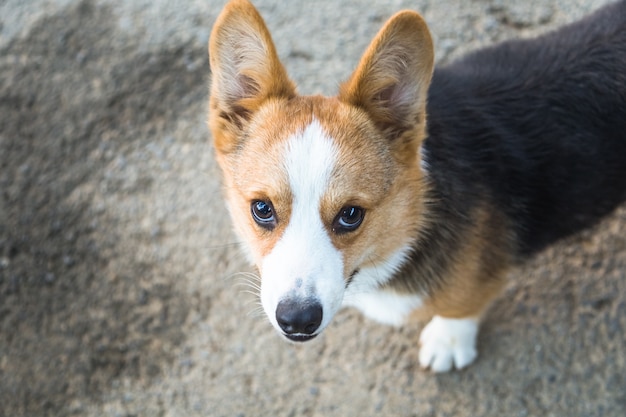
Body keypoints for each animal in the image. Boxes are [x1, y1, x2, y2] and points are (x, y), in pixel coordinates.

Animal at [206, 0, 624, 370]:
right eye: (262, 209)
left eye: (351, 214)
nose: (296, 320)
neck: (416, 211)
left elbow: (463, 305)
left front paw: (448, 340)